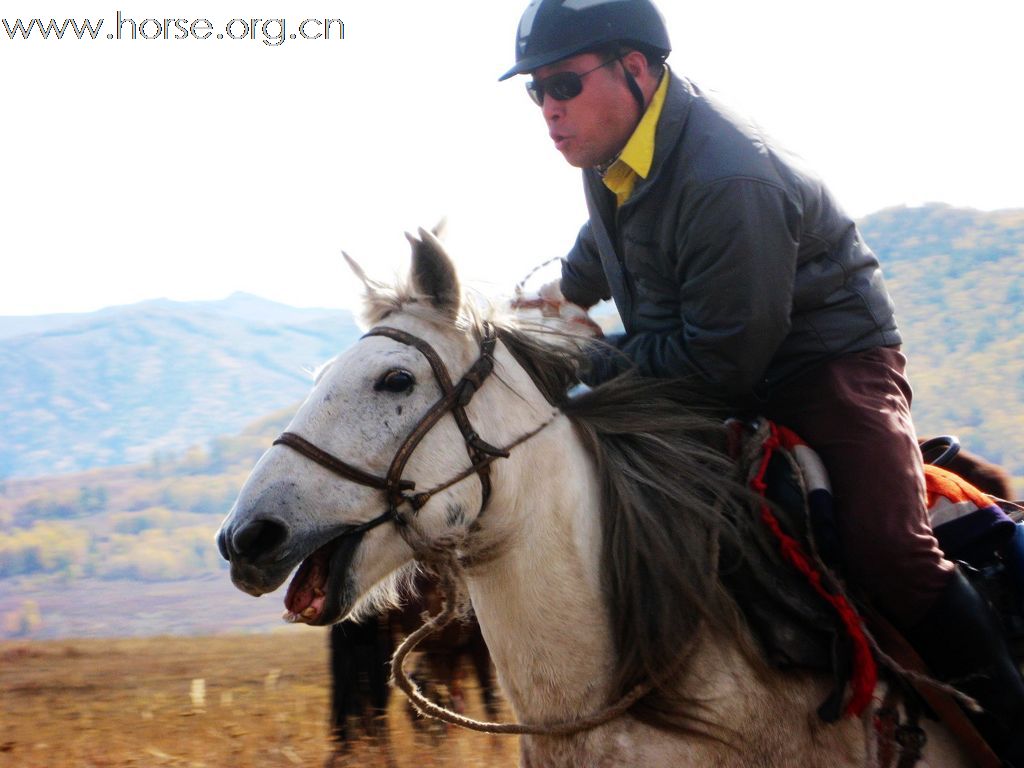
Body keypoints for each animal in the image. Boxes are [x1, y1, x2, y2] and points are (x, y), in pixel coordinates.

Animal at [325, 573, 497, 753]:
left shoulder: (446, 653)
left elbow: (447, 700)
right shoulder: (476, 646)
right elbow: (488, 698)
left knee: (352, 705)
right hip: (378, 648)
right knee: (372, 705)